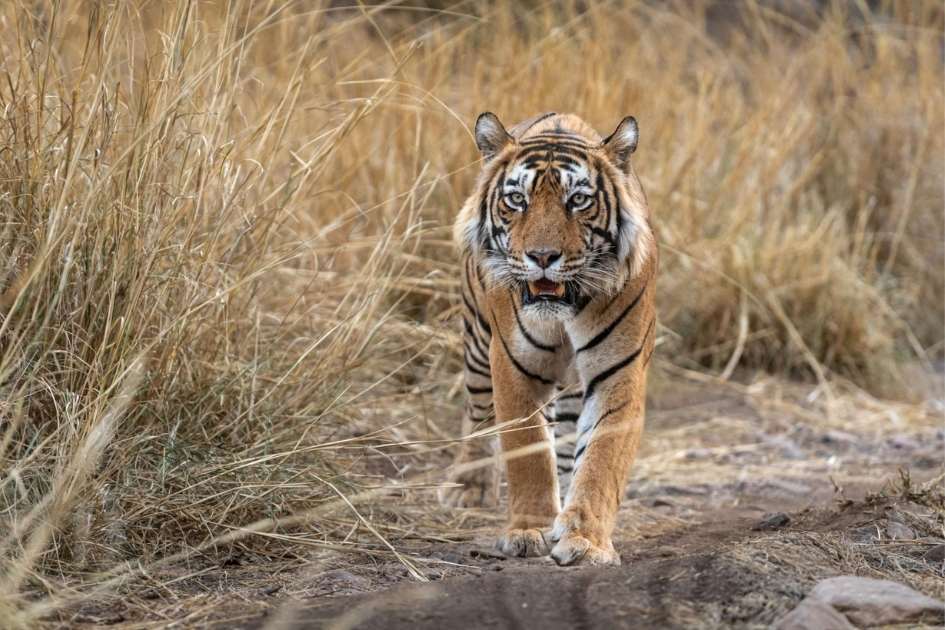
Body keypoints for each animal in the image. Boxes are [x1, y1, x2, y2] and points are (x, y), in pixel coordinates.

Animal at [442, 111, 657, 566]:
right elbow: (528, 451)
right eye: (516, 199)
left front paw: (586, 541)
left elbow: (601, 460)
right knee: (477, 410)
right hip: (476, 342)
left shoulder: (619, 372)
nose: (542, 257)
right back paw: (470, 486)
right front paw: (528, 531)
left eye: (578, 200)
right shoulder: (513, 367)